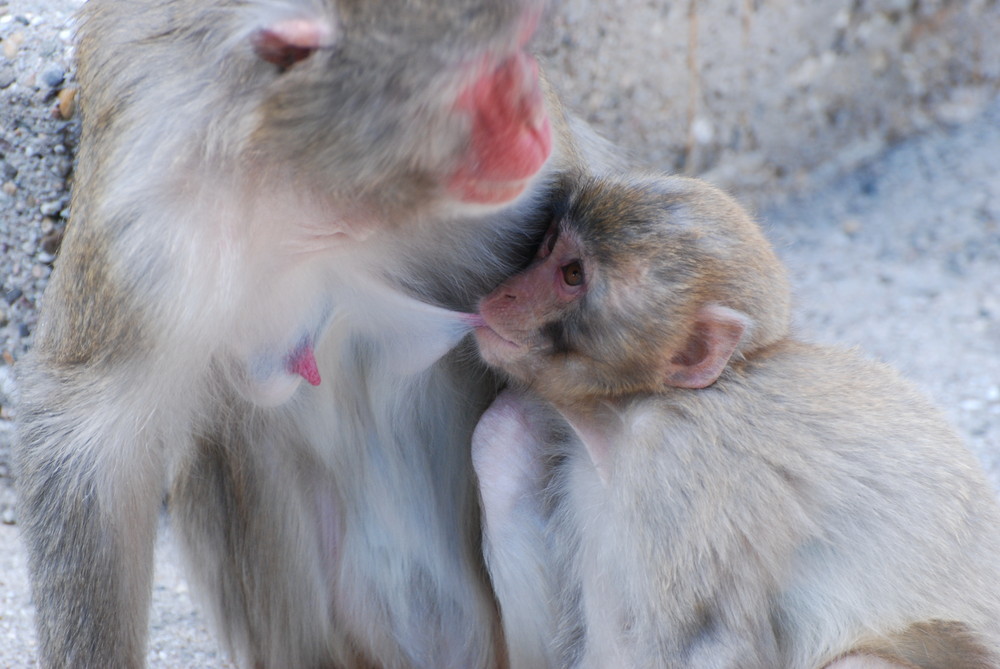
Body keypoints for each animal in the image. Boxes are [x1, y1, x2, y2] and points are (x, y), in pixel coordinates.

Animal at [13, 1, 616, 668]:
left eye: (522, 49)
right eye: (489, 71)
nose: (534, 107)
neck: (315, 194)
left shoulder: (531, 193)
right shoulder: (146, 226)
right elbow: (90, 446)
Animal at [472, 174, 1000, 668]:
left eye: (572, 274)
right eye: (548, 249)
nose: (505, 294)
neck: (628, 412)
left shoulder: (678, 468)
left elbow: (710, 644)